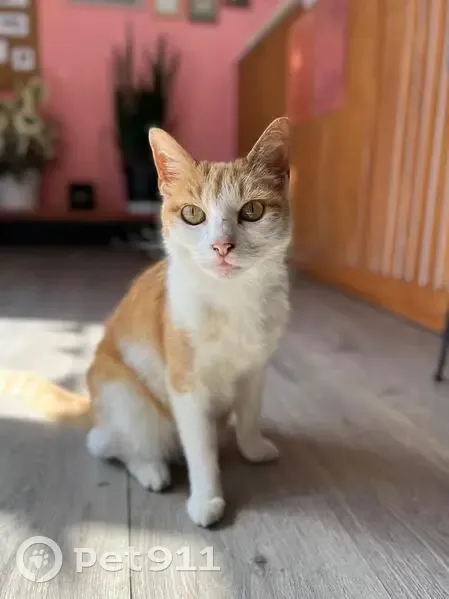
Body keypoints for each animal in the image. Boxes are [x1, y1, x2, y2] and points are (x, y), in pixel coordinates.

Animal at [0, 116, 291, 527]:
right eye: (193, 214)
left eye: (252, 211)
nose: (222, 246)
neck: (233, 299)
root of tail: (94, 407)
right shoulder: (185, 382)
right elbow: (200, 448)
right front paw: (206, 499)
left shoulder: (255, 369)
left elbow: (249, 415)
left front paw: (253, 448)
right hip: (130, 401)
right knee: (106, 444)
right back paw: (151, 469)